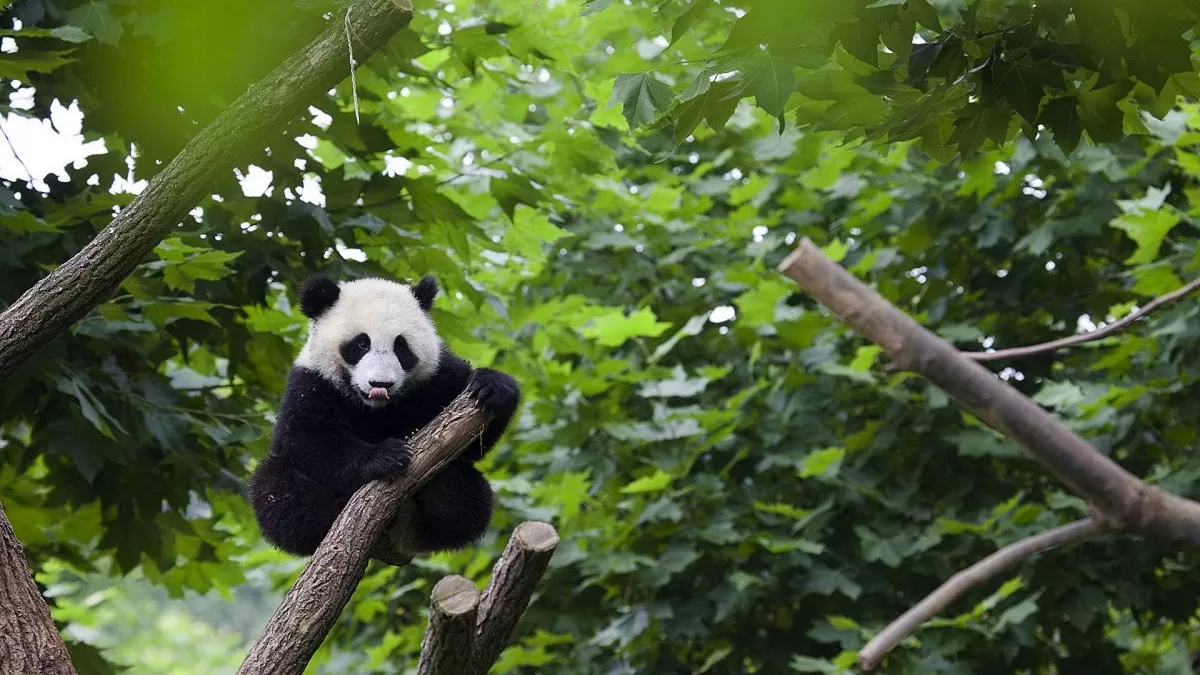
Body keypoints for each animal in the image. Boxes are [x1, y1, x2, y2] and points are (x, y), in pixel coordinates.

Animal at [248, 273, 520, 565]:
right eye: (361, 343)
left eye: (400, 346)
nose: (381, 384)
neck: (376, 408)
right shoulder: (312, 383)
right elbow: (304, 439)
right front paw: (386, 456)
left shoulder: (438, 376)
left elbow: (471, 446)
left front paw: (493, 387)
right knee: (276, 489)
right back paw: (330, 518)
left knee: (465, 493)